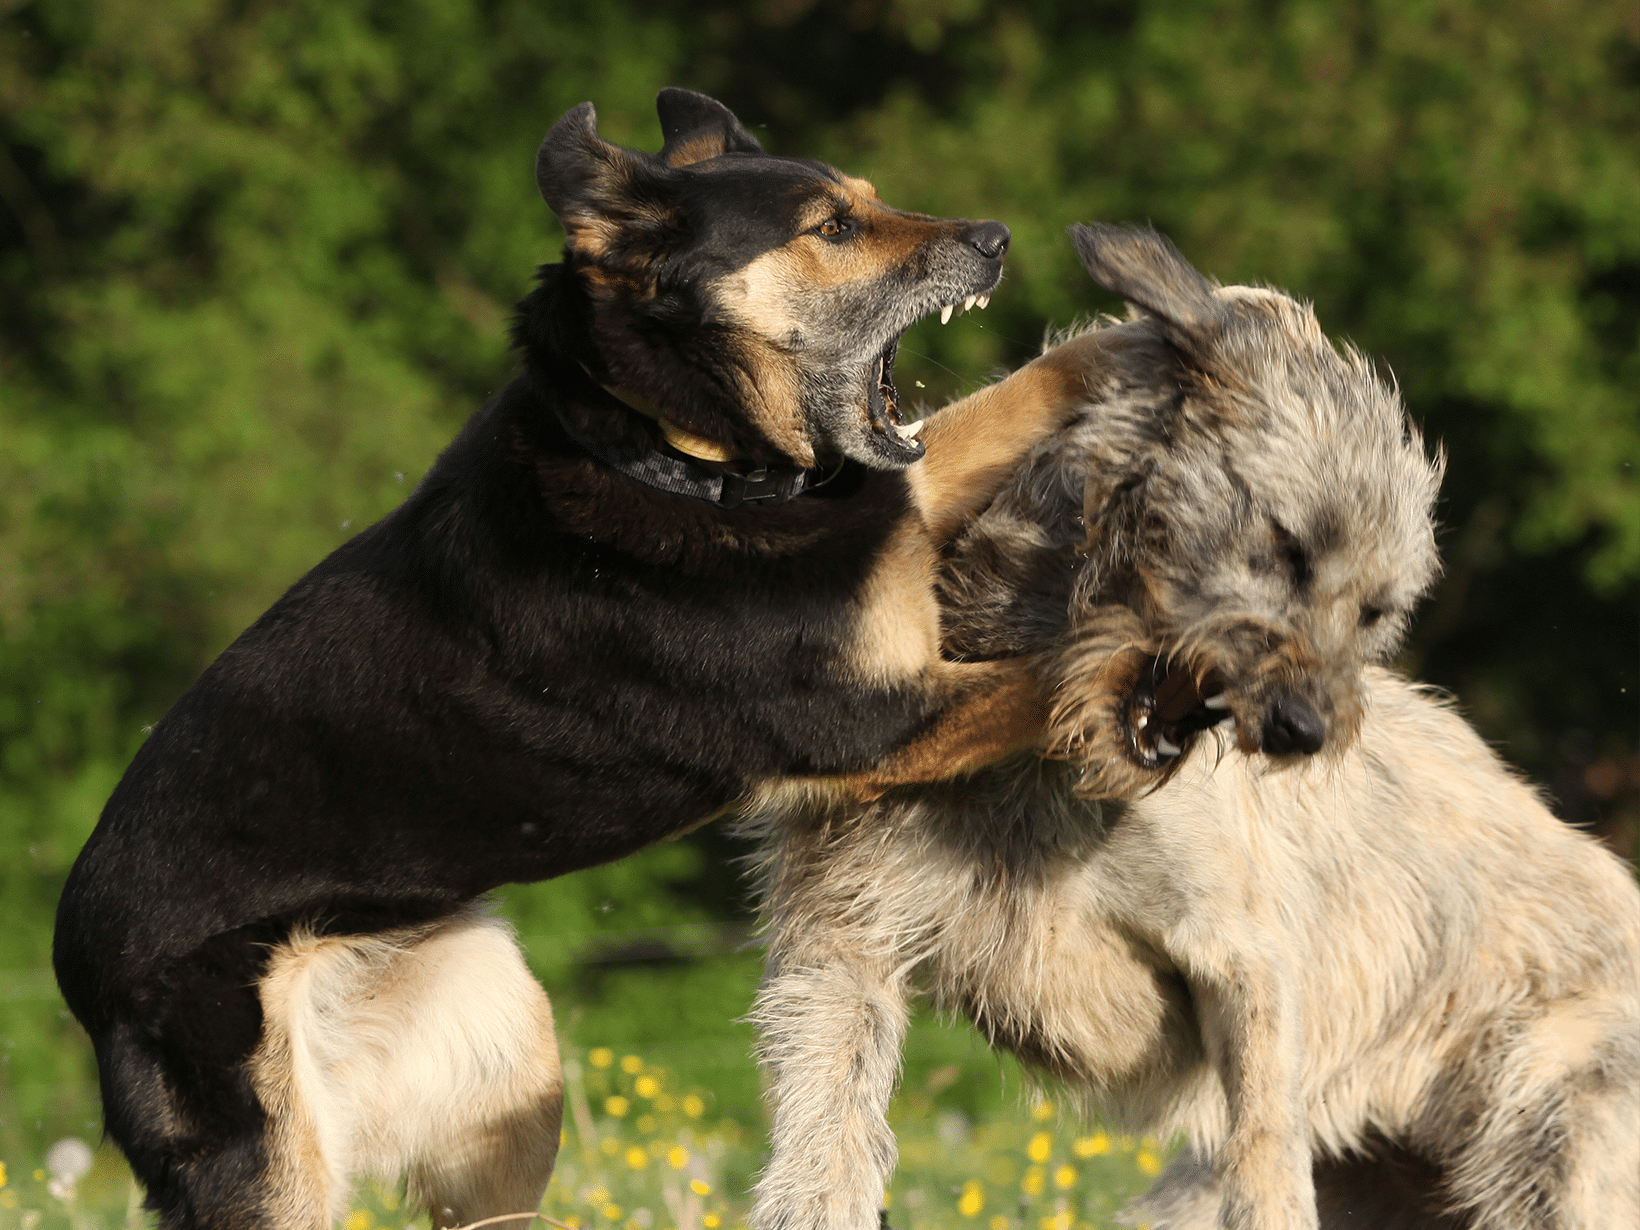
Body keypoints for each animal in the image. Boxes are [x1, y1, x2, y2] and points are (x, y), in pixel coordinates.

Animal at [54, 91, 1102, 1230]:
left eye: (868, 199)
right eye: (831, 227)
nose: (996, 238)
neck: (672, 458)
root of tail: (74, 959)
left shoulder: (897, 538)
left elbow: (1022, 395)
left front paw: (1159, 332)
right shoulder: (870, 721)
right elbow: (1045, 676)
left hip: (501, 1066)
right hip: (270, 1155)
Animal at [744, 229, 1640, 1230]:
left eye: (1375, 610)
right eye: (1289, 545)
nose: (1305, 730)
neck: (1049, 765)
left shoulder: (1243, 962)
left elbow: (1265, 1151)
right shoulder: (841, 945)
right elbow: (824, 1153)